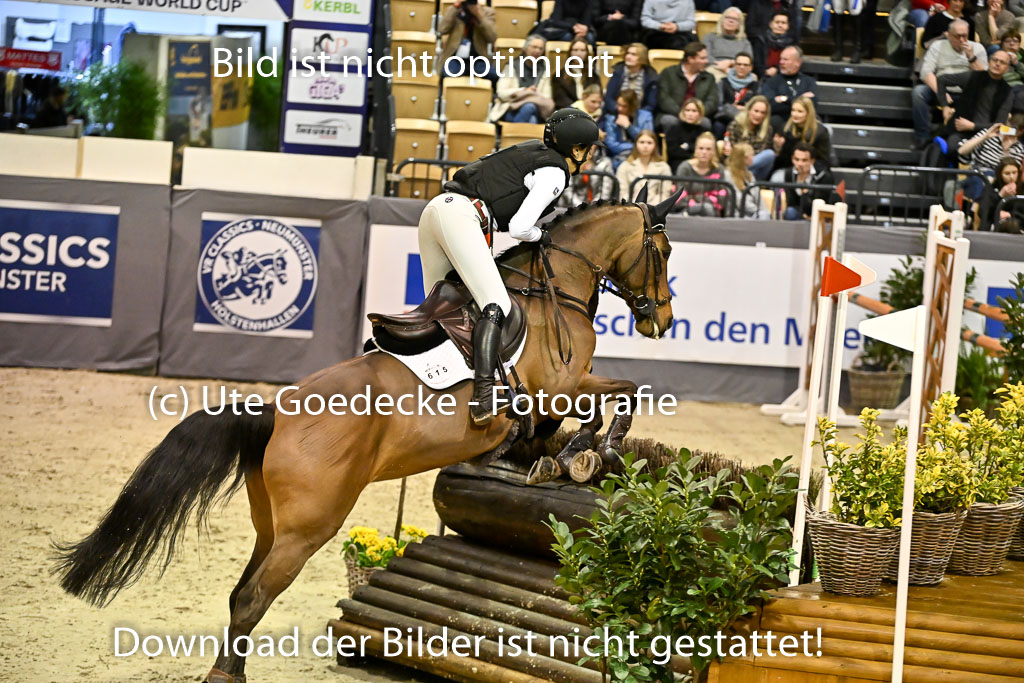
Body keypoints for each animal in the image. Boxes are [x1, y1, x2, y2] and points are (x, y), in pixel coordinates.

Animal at [52, 189, 680, 683]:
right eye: (665, 252)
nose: (663, 321)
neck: (555, 290)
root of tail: (275, 412)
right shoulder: (557, 388)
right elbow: (618, 395)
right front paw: (582, 455)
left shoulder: (560, 393)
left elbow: (610, 397)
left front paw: (555, 456)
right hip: (310, 527)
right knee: (254, 597)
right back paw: (224, 677)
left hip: (272, 526)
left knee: (240, 595)